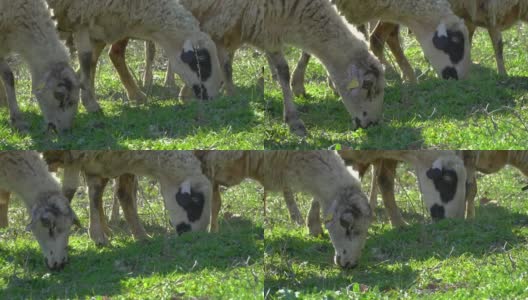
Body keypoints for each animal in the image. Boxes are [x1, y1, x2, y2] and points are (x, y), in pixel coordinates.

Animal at [0, 0, 80, 132]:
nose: (65, 131)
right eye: (59, 96)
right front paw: (17, 119)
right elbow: (9, 77)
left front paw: (14, 117)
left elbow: (7, 77)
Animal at [42, 150, 212, 246]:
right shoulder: (77, 157)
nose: (193, 237)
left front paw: (141, 236)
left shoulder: (106, 161)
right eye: (196, 202)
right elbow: (69, 191)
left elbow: (119, 194)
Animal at [46, 0, 225, 111]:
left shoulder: (97, 23)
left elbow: (91, 63)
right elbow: (86, 60)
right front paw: (90, 103)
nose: (213, 96)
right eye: (201, 59)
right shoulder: (81, 16)